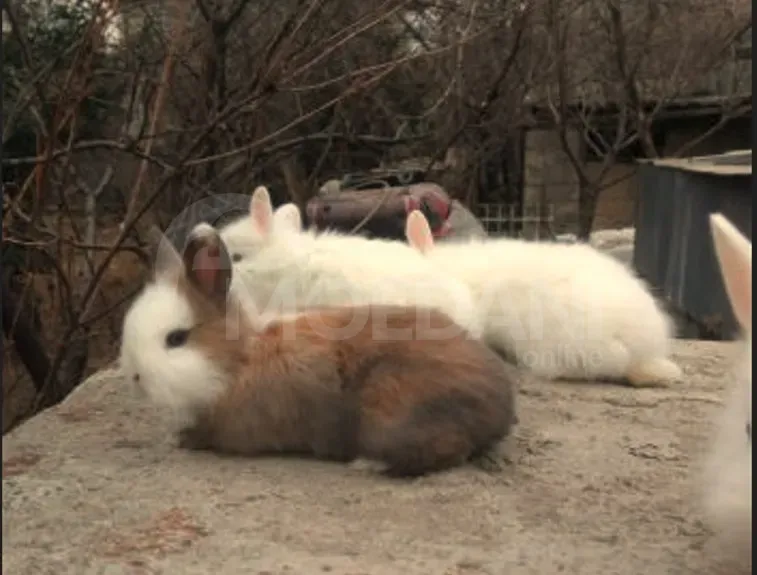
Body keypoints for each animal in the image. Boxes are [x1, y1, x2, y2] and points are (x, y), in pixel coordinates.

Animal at [118, 222, 519, 478]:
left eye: (176, 339)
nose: (135, 378)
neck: (239, 362)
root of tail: (500, 407)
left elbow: (203, 437)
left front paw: (175, 440)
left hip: (394, 411)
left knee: (447, 450)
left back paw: (368, 464)